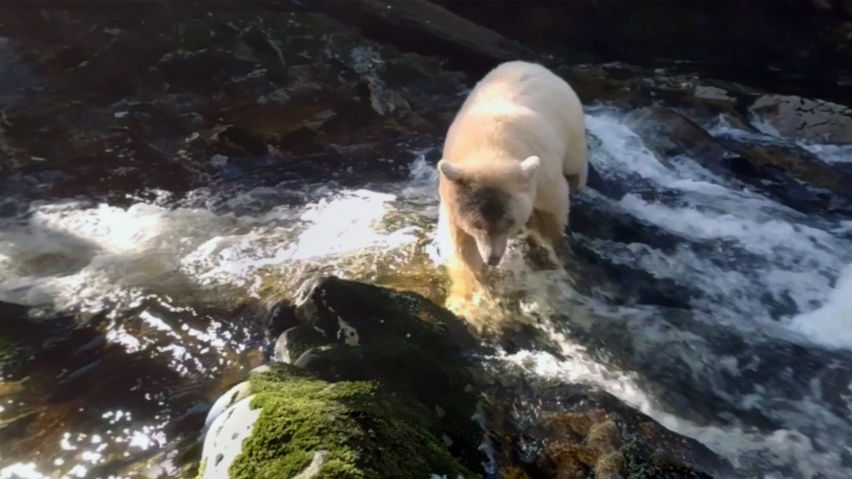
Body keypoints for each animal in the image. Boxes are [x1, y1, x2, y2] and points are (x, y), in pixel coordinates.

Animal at [436, 60, 587, 297]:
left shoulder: (542, 176)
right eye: (477, 224)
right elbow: (460, 246)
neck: (489, 149)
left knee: (576, 168)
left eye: (510, 222)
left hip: (572, 129)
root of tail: (530, 64)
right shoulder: (452, 196)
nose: (492, 259)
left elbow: (553, 207)